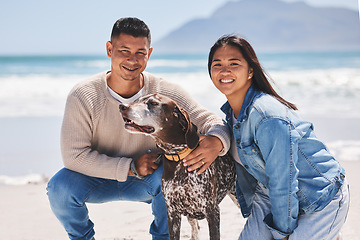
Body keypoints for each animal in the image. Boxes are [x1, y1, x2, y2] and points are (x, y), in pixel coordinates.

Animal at [119, 93, 236, 240]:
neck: (178, 157)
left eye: (153, 103)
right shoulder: (172, 213)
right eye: (137, 100)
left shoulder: (212, 211)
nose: (122, 106)